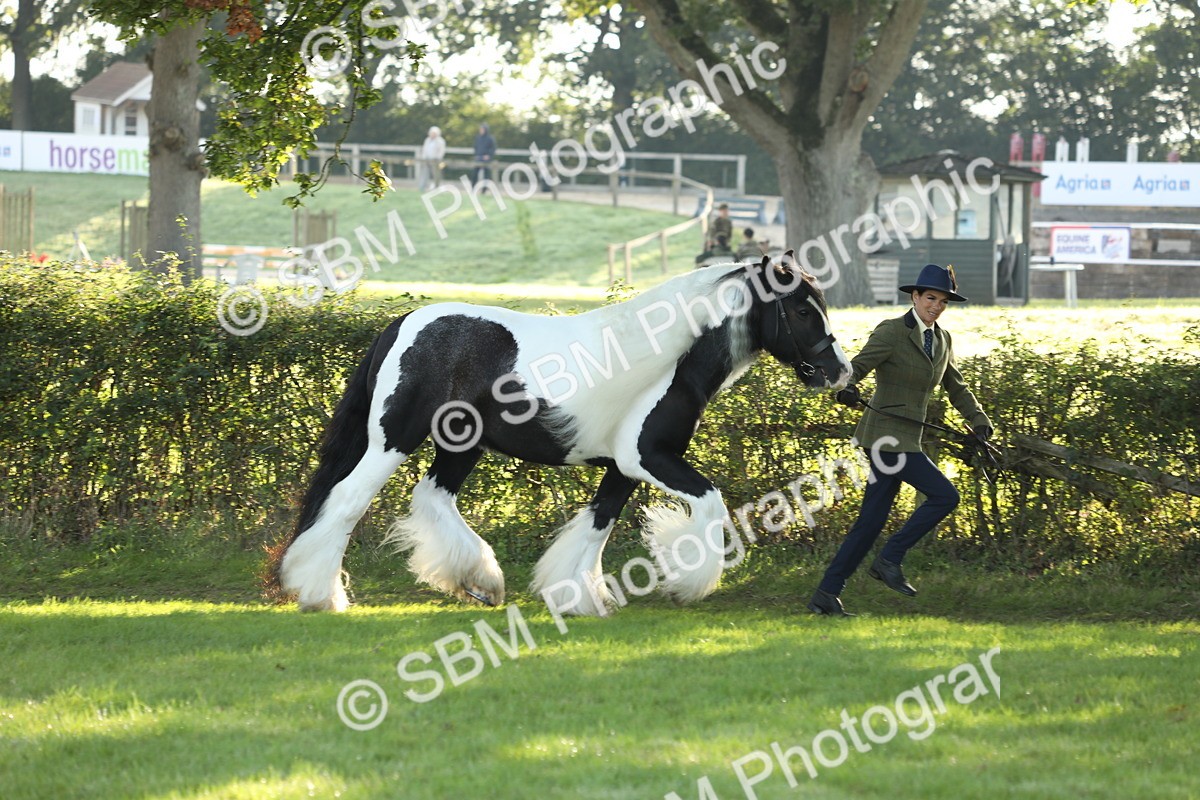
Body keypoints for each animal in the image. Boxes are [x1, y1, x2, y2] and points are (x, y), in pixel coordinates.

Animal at [270, 254, 852, 616]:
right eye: (802, 308)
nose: (840, 373)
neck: (672, 360)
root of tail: (403, 323)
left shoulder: (622, 470)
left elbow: (596, 527)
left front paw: (577, 597)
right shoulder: (648, 458)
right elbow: (709, 503)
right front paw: (688, 584)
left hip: (461, 446)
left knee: (431, 497)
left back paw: (481, 581)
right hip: (393, 440)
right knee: (347, 500)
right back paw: (320, 593)